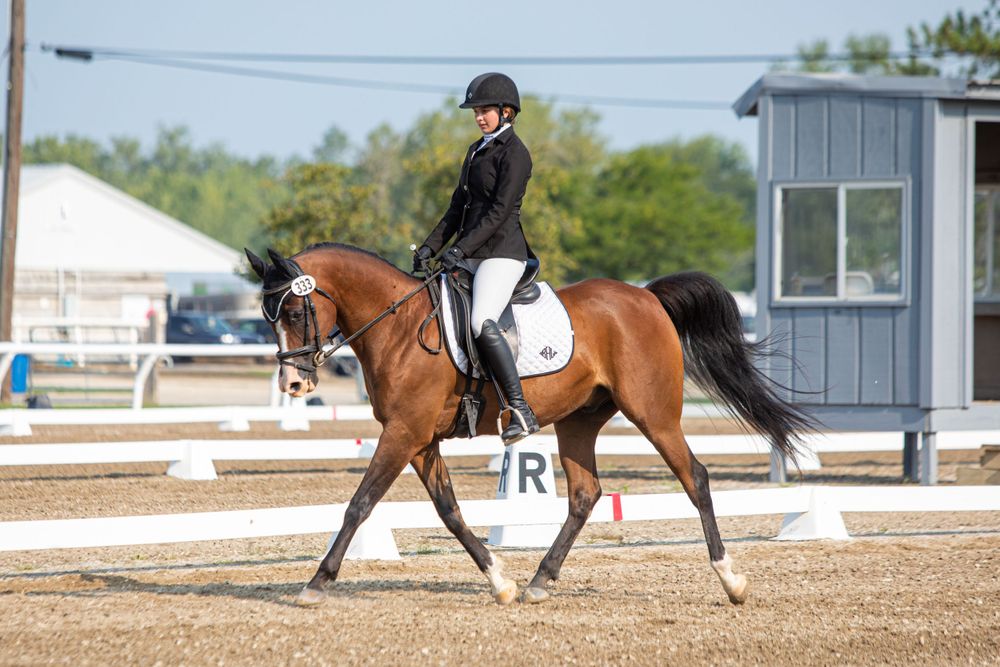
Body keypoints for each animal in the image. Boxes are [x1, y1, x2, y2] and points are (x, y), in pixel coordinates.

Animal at [245, 243, 813, 608]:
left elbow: (359, 504)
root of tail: (647, 297)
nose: (292, 384)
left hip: (654, 413)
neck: (399, 326)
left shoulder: (403, 433)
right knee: (585, 494)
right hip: (579, 422)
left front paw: (316, 584)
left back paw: (731, 580)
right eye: (268, 316)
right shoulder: (419, 439)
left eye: (293, 311)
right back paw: (541, 579)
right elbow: (449, 511)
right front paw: (500, 582)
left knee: (695, 477)